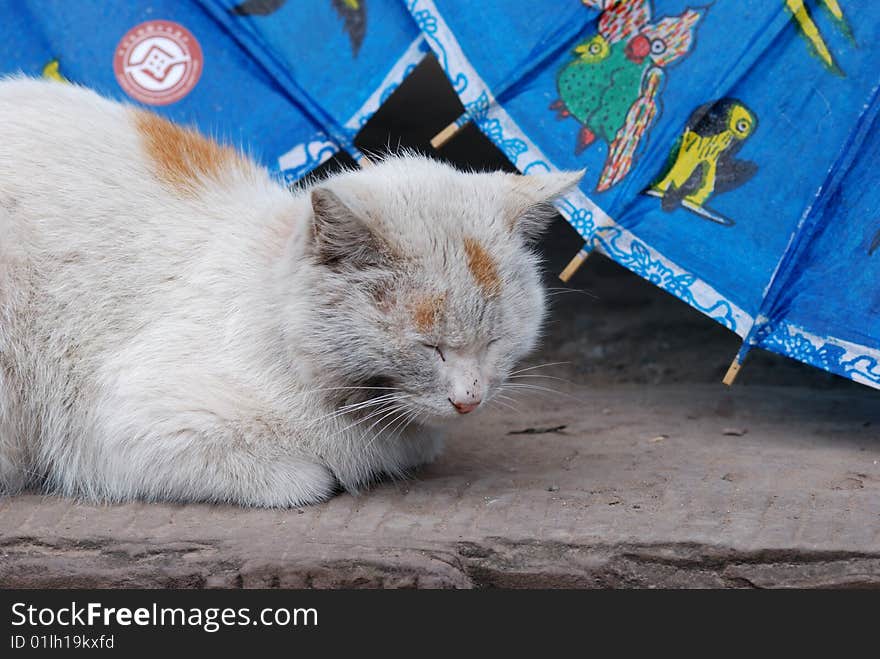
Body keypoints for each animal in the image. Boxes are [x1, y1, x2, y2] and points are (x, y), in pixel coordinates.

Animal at [0, 80, 584, 508]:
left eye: (495, 342)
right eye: (430, 347)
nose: (469, 399)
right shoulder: (123, 427)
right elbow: (306, 481)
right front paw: (322, 474)